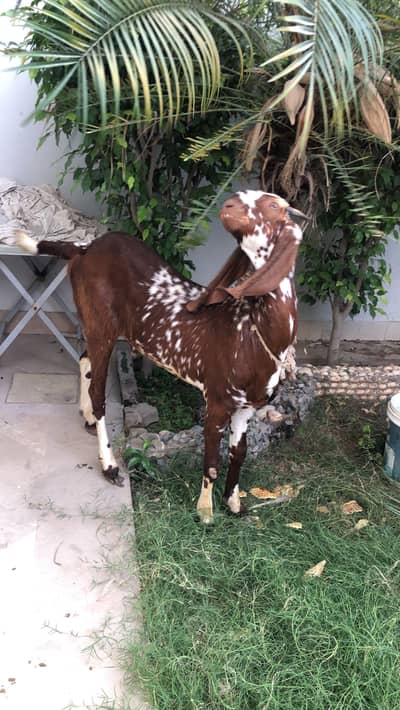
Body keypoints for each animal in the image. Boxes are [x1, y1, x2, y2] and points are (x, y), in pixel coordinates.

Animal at [15, 190, 305, 523]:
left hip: (93, 325)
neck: (253, 331)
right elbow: (212, 462)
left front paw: (234, 504)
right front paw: (205, 513)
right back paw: (109, 465)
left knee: (85, 359)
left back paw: (86, 416)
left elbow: (238, 454)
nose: (228, 203)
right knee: (99, 392)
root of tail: (83, 249)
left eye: (274, 205)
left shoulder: (247, 407)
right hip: (102, 325)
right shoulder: (217, 400)